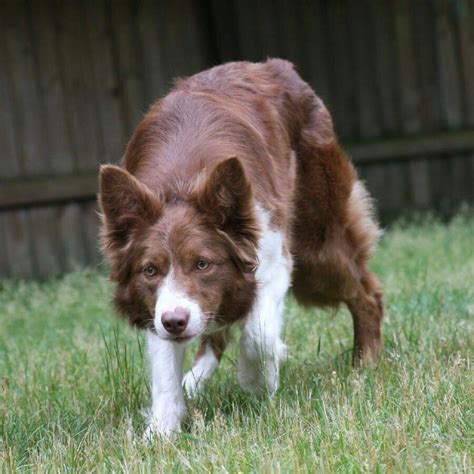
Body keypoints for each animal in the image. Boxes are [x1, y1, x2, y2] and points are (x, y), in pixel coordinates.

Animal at [98, 59, 384, 436]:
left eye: (203, 263)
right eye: (150, 270)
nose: (175, 322)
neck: (181, 181)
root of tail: (274, 65)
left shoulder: (272, 261)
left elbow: (258, 336)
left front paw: (258, 381)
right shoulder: (155, 304)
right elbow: (164, 369)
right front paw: (161, 431)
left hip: (316, 250)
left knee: (367, 294)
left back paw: (366, 364)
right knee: (214, 333)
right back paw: (194, 382)